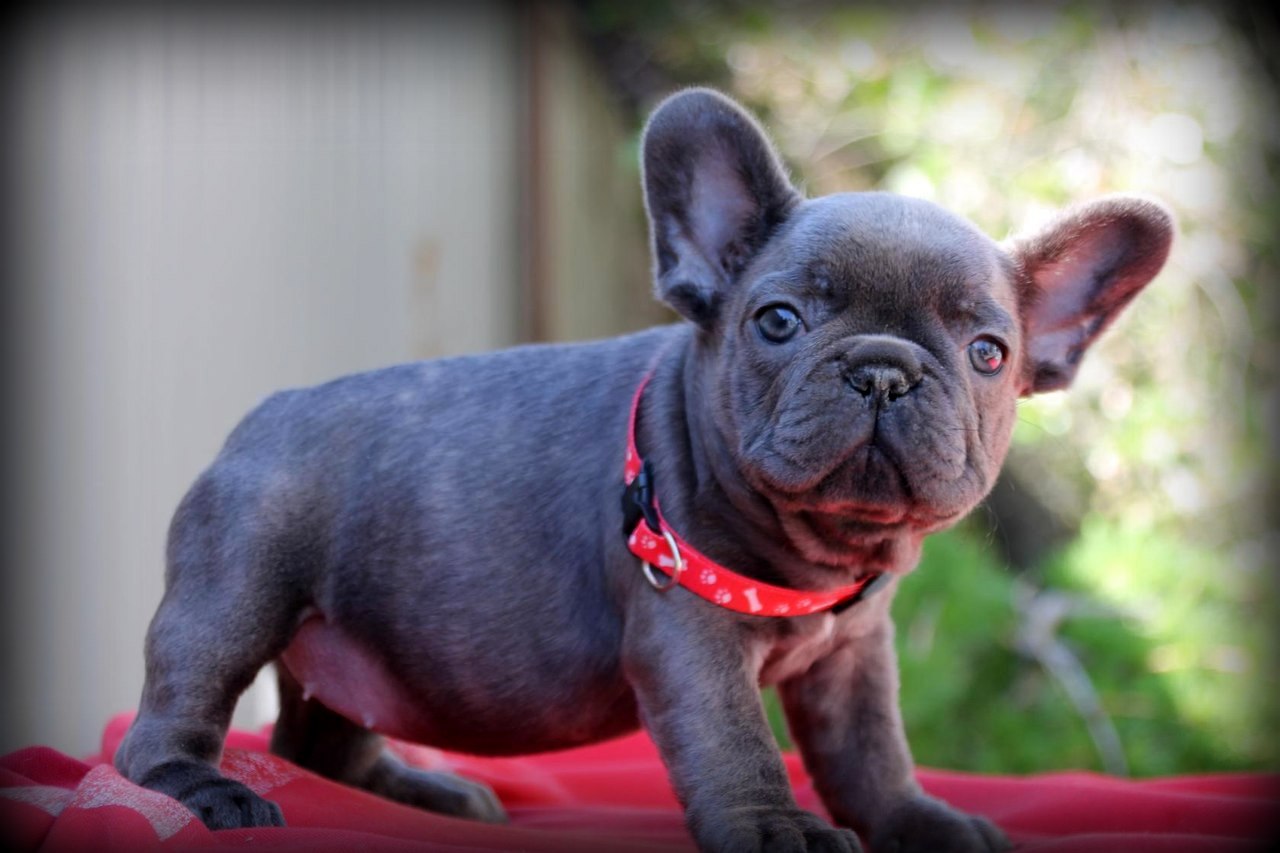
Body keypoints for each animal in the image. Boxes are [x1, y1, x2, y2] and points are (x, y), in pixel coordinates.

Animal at [115, 88, 1173, 852]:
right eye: (777, 320)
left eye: (989, 352)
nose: (882, 367)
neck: (819, 551)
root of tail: (259, 415)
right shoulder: (688, 634)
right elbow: (736, 739)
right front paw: (778, 830)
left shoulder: (854, 657)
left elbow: (872, 754)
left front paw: (920, 823)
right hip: (237, 587)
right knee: (172, 712)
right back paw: (204, 792)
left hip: (353, 649)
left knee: (318, 739)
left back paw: (424, 792)